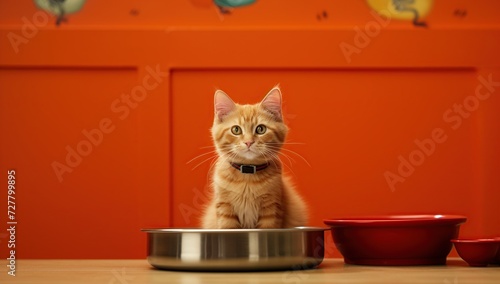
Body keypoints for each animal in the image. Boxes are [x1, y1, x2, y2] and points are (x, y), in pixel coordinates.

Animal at [201, 86, 306, 229]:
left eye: (261, 129)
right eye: (236, 130)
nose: (248, 142)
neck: (248, 178)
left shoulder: (271, 210)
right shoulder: (225, 210)